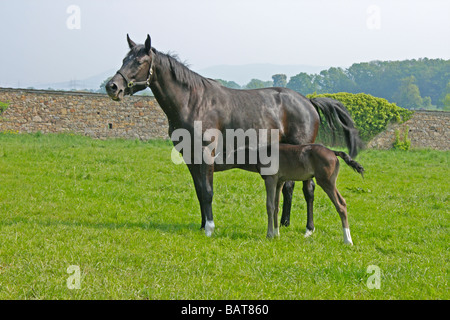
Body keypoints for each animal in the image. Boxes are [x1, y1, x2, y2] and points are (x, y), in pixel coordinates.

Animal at [104, 35, 358, 238]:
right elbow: (200, 191)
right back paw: (284, 223)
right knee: (288, 187)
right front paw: (202, 224)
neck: (194, 102)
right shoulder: (190, 159)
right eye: (123, 60)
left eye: (139, 61)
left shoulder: (206, 155)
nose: (112, 87)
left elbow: (208, 192)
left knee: (309, 190)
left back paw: (308, 228)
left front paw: (210, 227)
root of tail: (309, 101)